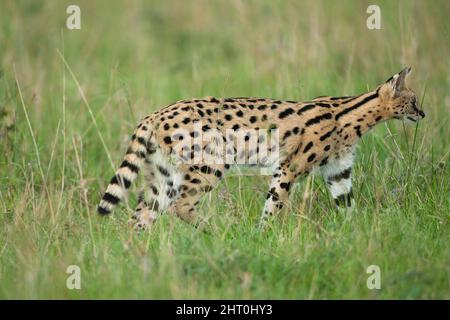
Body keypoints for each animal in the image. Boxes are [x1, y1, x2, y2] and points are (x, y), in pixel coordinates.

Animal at [96, 67, 424, 230]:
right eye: (413, 100)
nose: (423, 114)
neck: (351, 114)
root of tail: (155, 114)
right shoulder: (289, 168)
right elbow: (274, 206)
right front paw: (262, 236)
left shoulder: (338, 172)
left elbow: (348, 208)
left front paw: (356, 237)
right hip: (210, 163)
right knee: (181, 205)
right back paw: (218, 231)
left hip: (164, 175)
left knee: (141, 214)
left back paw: (136, 254)